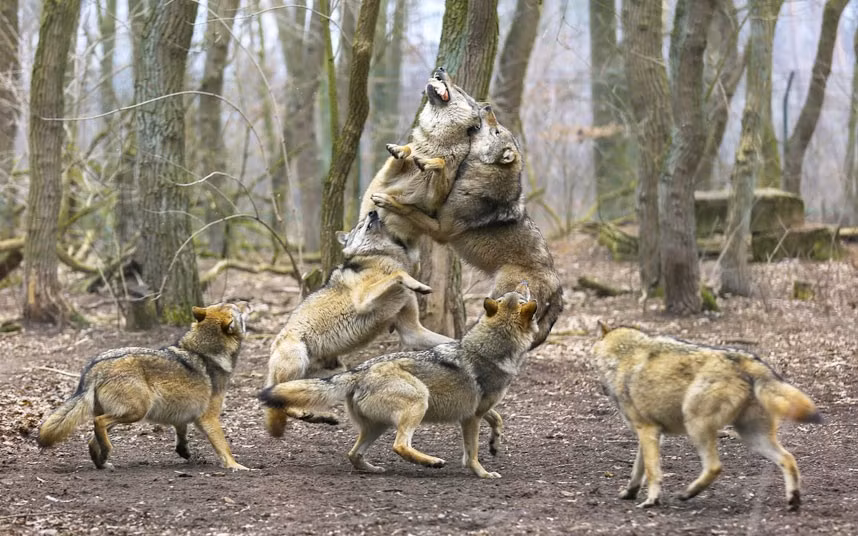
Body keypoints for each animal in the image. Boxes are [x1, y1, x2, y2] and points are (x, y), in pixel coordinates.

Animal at [37, 302, 250, 471]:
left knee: (92, 439)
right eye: (237, 308)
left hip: (125, 413)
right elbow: (224, 447)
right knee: (98, 423)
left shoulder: (181, 416)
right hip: (136, 412)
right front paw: (236, 466)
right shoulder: (209, 418)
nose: (248, 302)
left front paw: (188, 455)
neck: (206, 350)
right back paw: (107, 453)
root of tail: (96, 366)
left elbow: (181, 442)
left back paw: (103, 462)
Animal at [259, 282, 538, 478]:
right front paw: (483, 473)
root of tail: (360, 371)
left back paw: (373, 469)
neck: (491, 348)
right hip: (418, 401)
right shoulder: (471, 418)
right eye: (520, 296)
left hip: (378, 426)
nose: (525, 282)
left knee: (353, 454)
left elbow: (497, 419)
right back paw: (432, 462)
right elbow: (472, 454)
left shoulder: (477, 411)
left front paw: (495, 444)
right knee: (399, 446)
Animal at [264, 210, 454, 437]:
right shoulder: (364, 300)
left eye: (364, 219)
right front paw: (418, 284)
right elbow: (398, 274)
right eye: (361, 224)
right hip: (297, 356)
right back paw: (306, 414)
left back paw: (321, 416)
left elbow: (448, 339)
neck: (382, 256)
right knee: (278, 401)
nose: (372, 211)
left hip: (335, 373)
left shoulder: (412, 331)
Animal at [372, 105, 563, 348]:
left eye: (497, 131)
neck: (479, 175)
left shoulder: (441, 230)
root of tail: (559, 289)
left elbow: (409, 209)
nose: (487, 106)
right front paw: (408, 154)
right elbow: (439, 165)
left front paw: (387, 200)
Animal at [592, 324, 822, 511]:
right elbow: (637, 471)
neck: (622, 357)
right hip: (753, 437)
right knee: (789, 459)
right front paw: (629, 493)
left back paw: (687, 493)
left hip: (696, 426)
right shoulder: (650, 434)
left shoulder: (647, 431)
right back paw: (793, 501)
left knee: (714, 467)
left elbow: (652, 472)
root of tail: (746, 360)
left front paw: (651, 501)